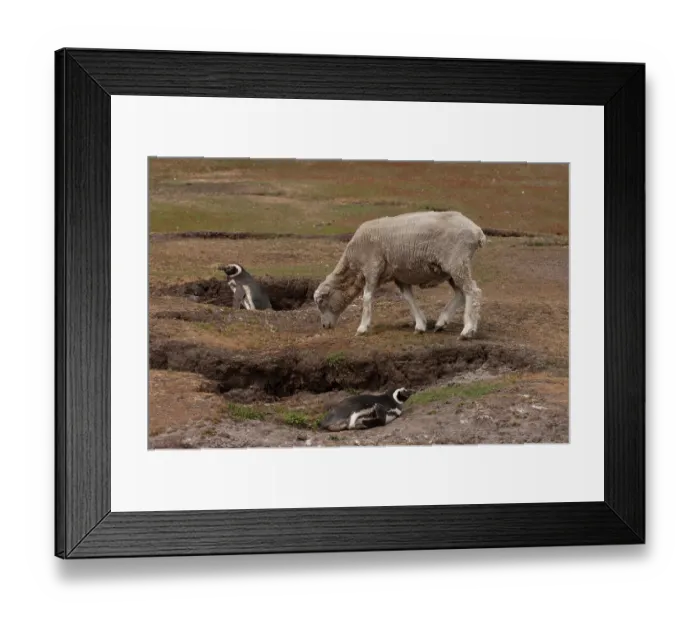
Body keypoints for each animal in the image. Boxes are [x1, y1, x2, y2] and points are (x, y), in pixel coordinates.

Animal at [313, 210, 486, 339]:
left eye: (321, 302)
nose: (324, 326)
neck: (353, 268)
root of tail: (477, 231)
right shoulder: (399, 276)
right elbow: (408, 298)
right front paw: (420, 325)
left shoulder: (372, 267)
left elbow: (367, 298)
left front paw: (362, 327)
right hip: (451, 268)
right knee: (461, 293)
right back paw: (441, 322)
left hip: (457, 262)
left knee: (472, 291)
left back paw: (468, 330)